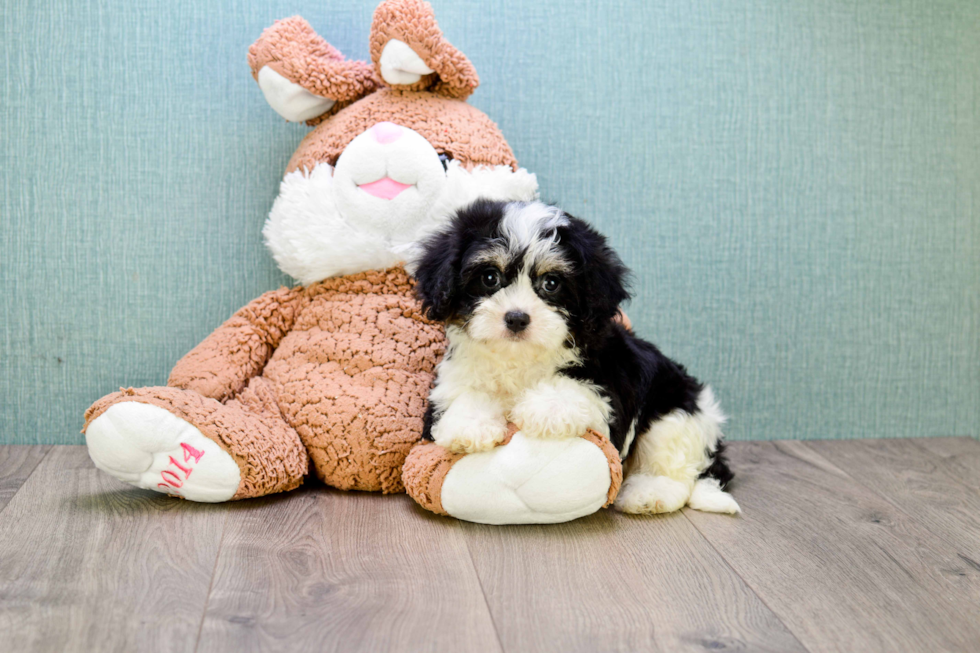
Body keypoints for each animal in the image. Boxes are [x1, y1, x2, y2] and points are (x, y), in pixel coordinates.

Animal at [410, 199, 740, 516]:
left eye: (551, 283)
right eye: (489, 277)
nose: (517, 318)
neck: (518, 359)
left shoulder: (610, 392)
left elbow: (577, 388)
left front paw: (545, 408)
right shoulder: (452, 379)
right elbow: (463, 395)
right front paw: (470, 425)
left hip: (674, 410)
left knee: (675, 467)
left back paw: (649, 494)